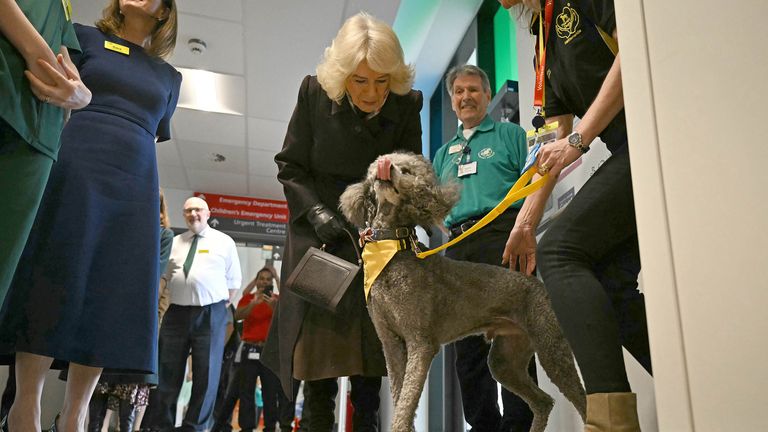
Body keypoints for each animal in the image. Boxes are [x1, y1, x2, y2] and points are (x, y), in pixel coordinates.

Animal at [340, 152, 584, 432]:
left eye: (407, 171)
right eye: (380, 164)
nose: (386, 167)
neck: (393, 247)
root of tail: (538, 284)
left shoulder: (421, 343)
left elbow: (405, 404)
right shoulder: (391, 344)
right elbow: (400, 396)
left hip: (550, 345)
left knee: (582, 400)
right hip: (506, 359)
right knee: (544, 401)